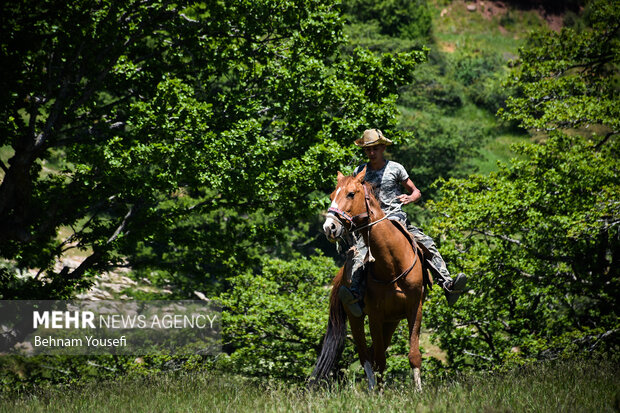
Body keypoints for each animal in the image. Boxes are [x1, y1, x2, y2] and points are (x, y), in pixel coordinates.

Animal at [308, 167, 426, 390]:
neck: (392, 264)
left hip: (392, 320)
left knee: (370, 353)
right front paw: (379, 393)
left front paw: (419, 391)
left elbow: (414, 354)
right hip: (356, 318)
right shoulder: (374, 315)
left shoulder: (414, 308)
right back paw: (372, 388)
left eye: (350, 194)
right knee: (366, 356)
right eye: (331, 195)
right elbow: (378, 360)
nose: (329, 227)